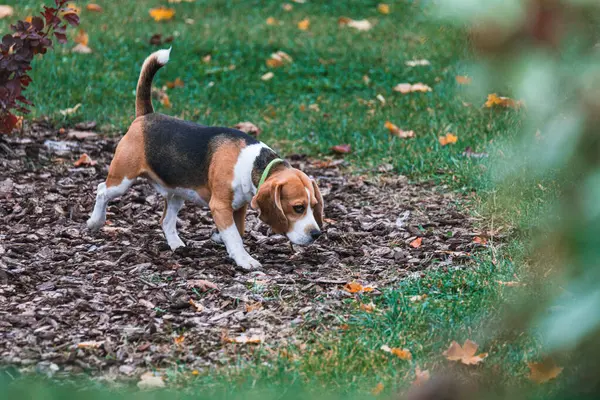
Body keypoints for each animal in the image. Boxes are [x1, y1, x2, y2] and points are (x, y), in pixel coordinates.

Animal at [85, 48, 324, 270]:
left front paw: (220, 237)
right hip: (123, 178)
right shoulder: (219, 205)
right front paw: (244, 259)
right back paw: (95, 222)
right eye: (298, 208)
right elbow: (234, 235)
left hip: (177, 191)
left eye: (314, 205)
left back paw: (176, 245)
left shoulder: (239, 206)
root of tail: (145, 116)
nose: (317, 234)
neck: (254, 164)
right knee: (102, 190)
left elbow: (238, 230)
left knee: (166, 221)